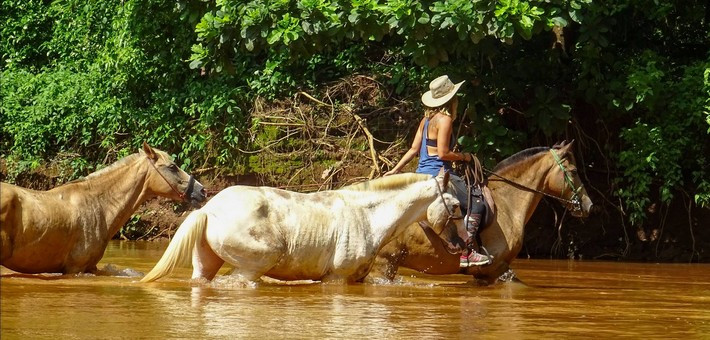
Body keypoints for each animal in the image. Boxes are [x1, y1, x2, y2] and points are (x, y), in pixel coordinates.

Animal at [141, 171, 464, 282]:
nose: (461, 246)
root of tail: (209, 209)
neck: (368, 217)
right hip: (253, 267)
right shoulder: (337, 279)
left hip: (205, 265)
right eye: (457, 207)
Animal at [376, 141, 596, 284]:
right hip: (385, 264)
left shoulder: (485, 274)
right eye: (574, 171)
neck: (508, 202)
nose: (589, 205)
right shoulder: (498, 269)